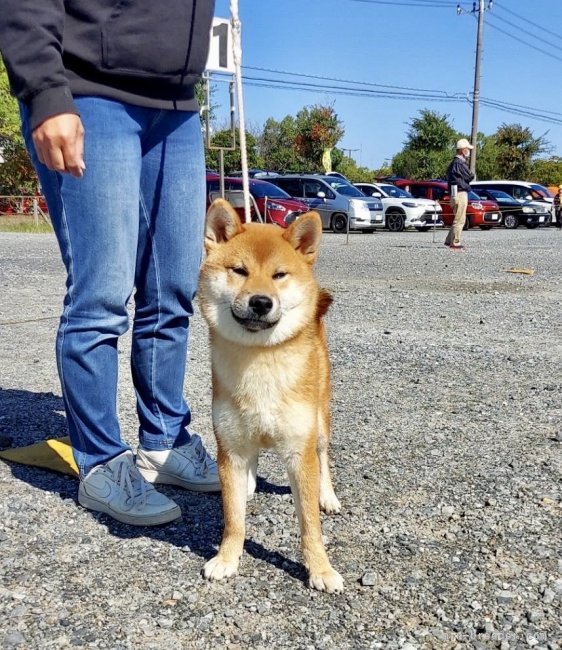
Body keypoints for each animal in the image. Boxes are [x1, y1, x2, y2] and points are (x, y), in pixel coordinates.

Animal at [199, 200, 344, 588]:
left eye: (279, 275)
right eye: (239, 271)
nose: (261, 302)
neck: (260, 361)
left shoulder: (299, 451)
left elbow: (310, 525)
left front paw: (320, 569)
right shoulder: (230, 447)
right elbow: (234, 519)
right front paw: (227, 558)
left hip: (319, 423)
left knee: (324, 457)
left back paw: (328, 495)